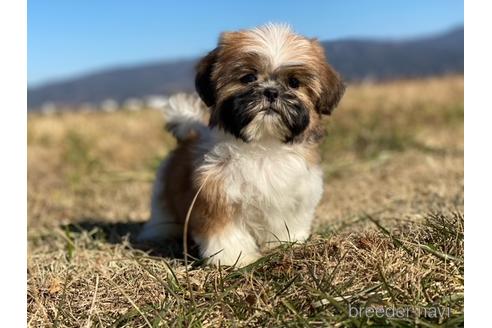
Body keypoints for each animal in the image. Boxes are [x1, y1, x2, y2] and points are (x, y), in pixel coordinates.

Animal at [137, 24, 346, 268]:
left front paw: (288, 244)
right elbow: (226, 232)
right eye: (248, 77)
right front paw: (236, 258)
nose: (271, 91)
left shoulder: (296, 195)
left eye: (294, 82)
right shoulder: (217, 195)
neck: (263, 146)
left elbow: (288, 223)